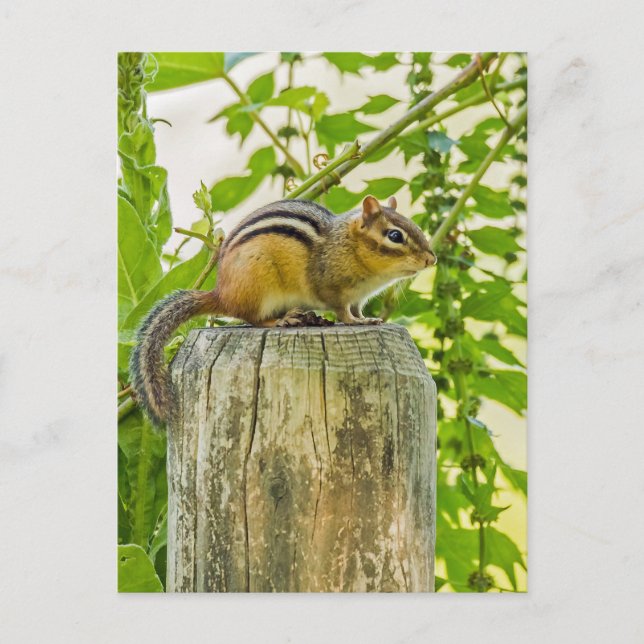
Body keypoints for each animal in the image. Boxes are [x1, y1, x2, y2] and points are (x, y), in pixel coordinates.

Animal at [130, 195, 437, 426]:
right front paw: (354, 322)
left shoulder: (358, 298)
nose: (431, 259)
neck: (350, 246)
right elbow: (342, 311)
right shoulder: (333, 289)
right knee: (252, 318)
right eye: (395, 235)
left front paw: (368, 319)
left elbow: (357, 310)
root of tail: (221, 293)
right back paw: (282, 320)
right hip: (259, 285)